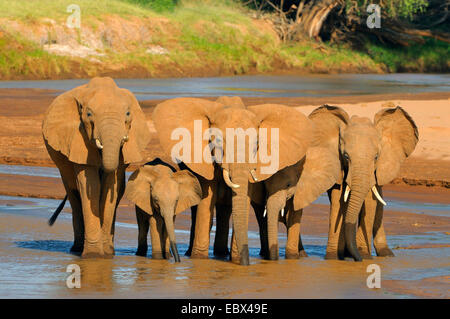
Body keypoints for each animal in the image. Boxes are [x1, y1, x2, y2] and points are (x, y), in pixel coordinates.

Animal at [43, 77, 150, 260]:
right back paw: (76, 249)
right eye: (88, 115)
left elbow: (110, 185)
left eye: (128, 114)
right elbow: (90, 186)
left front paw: (106, 254)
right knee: (73, 193)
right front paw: (94, 256)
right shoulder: (78, 139)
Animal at [151, 97, 312, 264]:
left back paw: (221, 253)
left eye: (257, 144)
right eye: (218, 141)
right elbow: (207, 204)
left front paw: (235, 261)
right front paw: (200, 259)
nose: (246, 263)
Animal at [298, 105, 420, 262]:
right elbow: (338, 199)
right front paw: (332, 258)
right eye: (346, 156)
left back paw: (385, 254)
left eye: (376, 157)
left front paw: (365, 256)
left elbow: (370, 201)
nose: (358, 259)